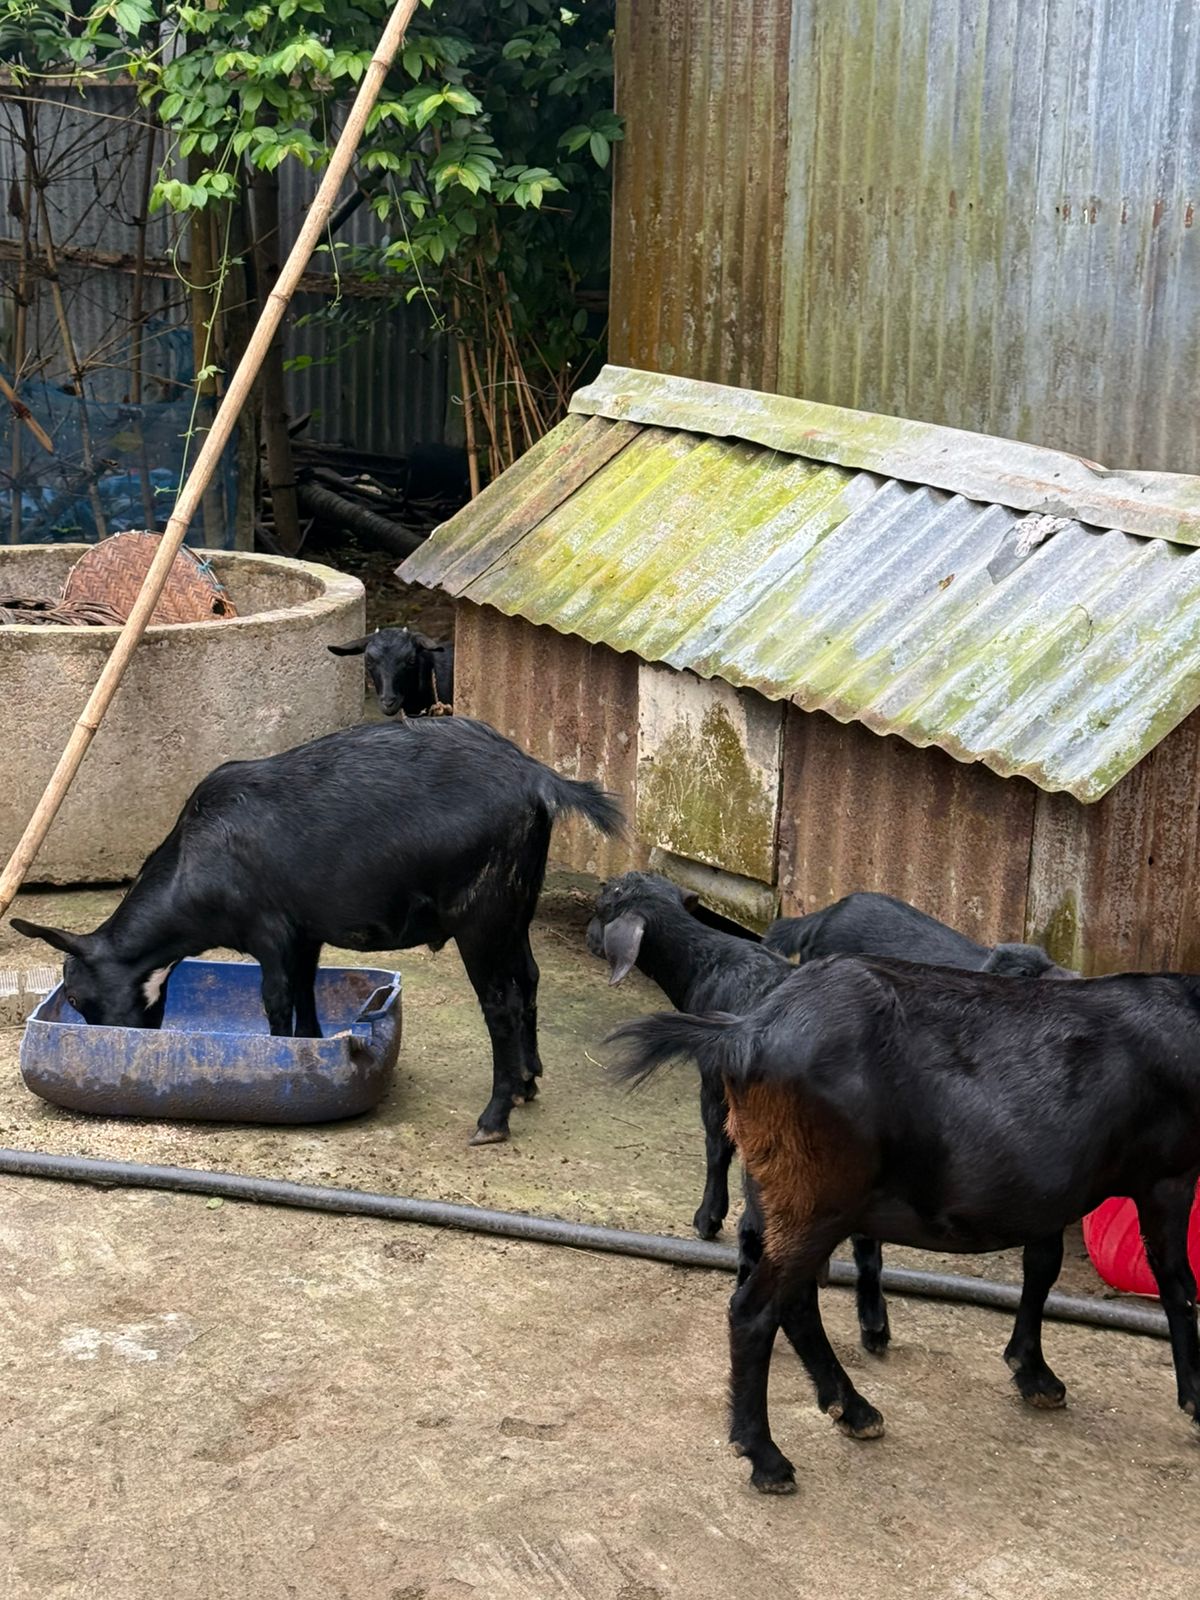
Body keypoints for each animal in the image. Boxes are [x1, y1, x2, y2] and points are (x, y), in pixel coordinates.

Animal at [13, 717, 621, 1145]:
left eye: (76, 995)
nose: (114, 1045)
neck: (199, 856)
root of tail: (535, 776)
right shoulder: (304, 932)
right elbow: (306, 993)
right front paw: (307, 1057)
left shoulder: (269, 931)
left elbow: (277, 999)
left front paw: (276, 1065)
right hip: (517, 905)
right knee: (529, 978)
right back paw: (527, 1082)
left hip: (481, 912)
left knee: (501, 1005)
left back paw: (493, 1117)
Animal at [587, 871, 890, 1361]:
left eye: (603, 906)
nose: (588, 936)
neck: (709, 962)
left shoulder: (715, 1081)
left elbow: (716, 1147)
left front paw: (707, 1219)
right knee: (869, 1238)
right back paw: (875, 1326)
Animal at [609, 957, 1200, 1495]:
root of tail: (745, 1032)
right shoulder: (1168, 1176)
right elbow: (1177, 1283)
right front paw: (1195, 1398)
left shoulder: (1053, 1193)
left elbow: (1043, 1267)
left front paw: (1032, 1372)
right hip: (818, 1195)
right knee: (756, 1309)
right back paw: (768, 1457)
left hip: (775, 1184)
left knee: (787, 1292)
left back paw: (850, 1408)